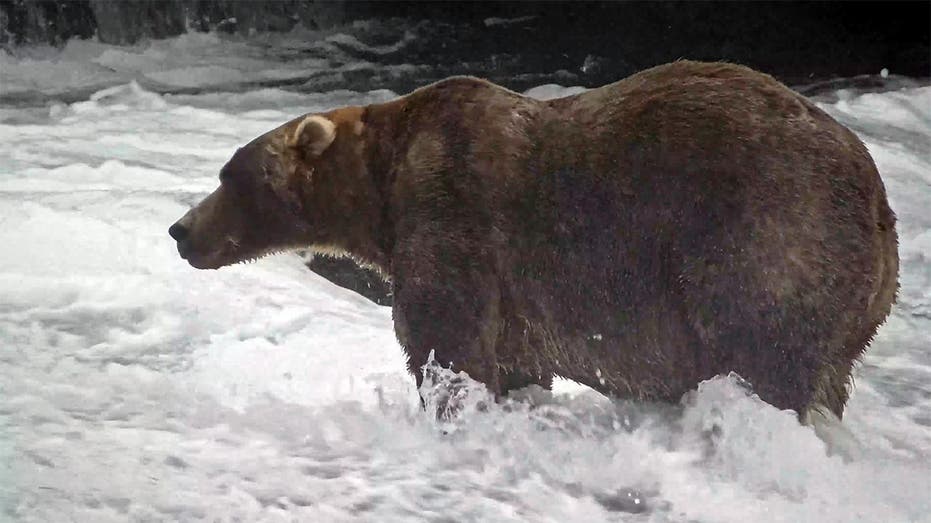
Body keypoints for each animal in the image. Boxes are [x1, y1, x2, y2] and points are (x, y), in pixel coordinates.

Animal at [169, 60, 898, 419]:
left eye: (229, 175)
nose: (180, 230)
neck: (380, 188)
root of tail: (877, 198)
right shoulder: (517, 299)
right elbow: (515, 361)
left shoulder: (453, 214)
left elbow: (446, 340)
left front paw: (449, 406)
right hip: (854, 304)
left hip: (764, 235)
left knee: (763, 350)